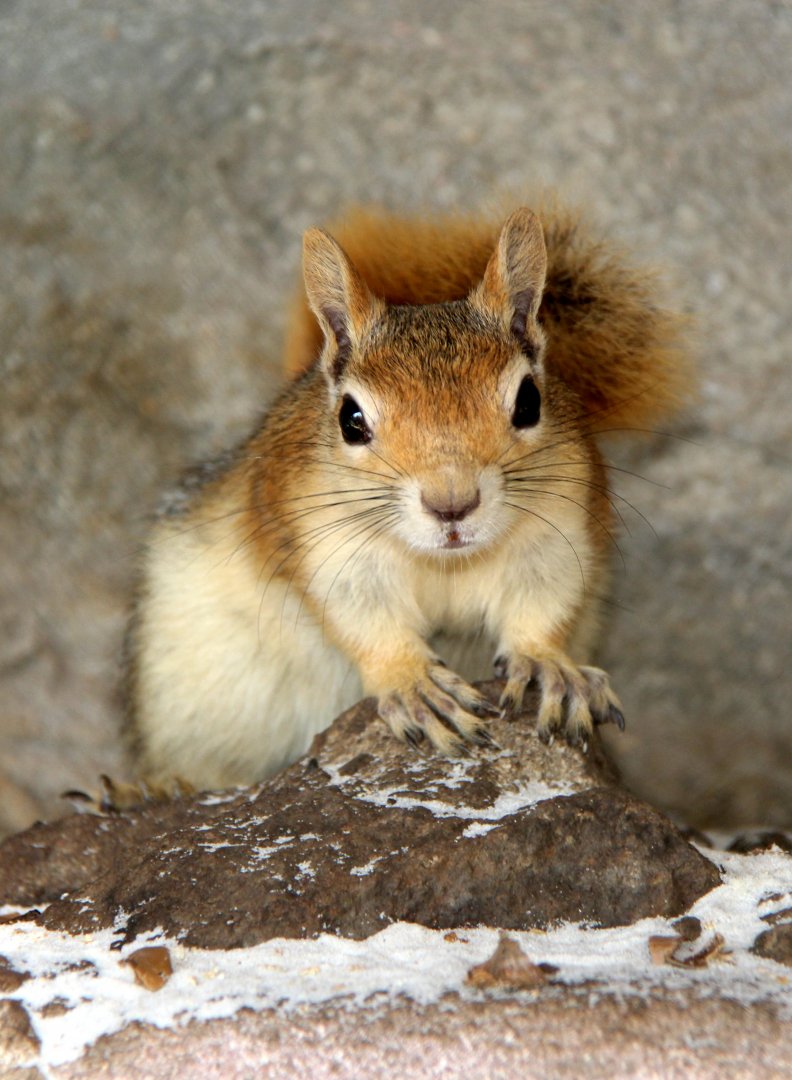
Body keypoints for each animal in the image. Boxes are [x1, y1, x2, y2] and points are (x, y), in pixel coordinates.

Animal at [124, 201, 690, 790]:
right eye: (351, 419)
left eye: (530, 401)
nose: (451, 504)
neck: (446, 564)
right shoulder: (330, 549)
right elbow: (365, 620)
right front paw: (413, 681)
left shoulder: (555, 531)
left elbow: (542, 605)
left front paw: (547, 665)